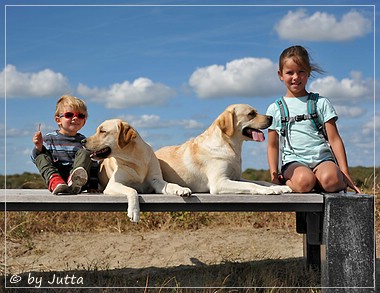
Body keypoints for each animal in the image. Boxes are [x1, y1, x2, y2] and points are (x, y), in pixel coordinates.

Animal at [156, 104, 292, 195]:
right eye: (251, 114)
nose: (271, 117)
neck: (230, 146)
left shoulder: (236, 178)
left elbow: (260, 181)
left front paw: (278, 187)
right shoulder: (219, 182)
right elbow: (251, 184)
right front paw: (266, 190)